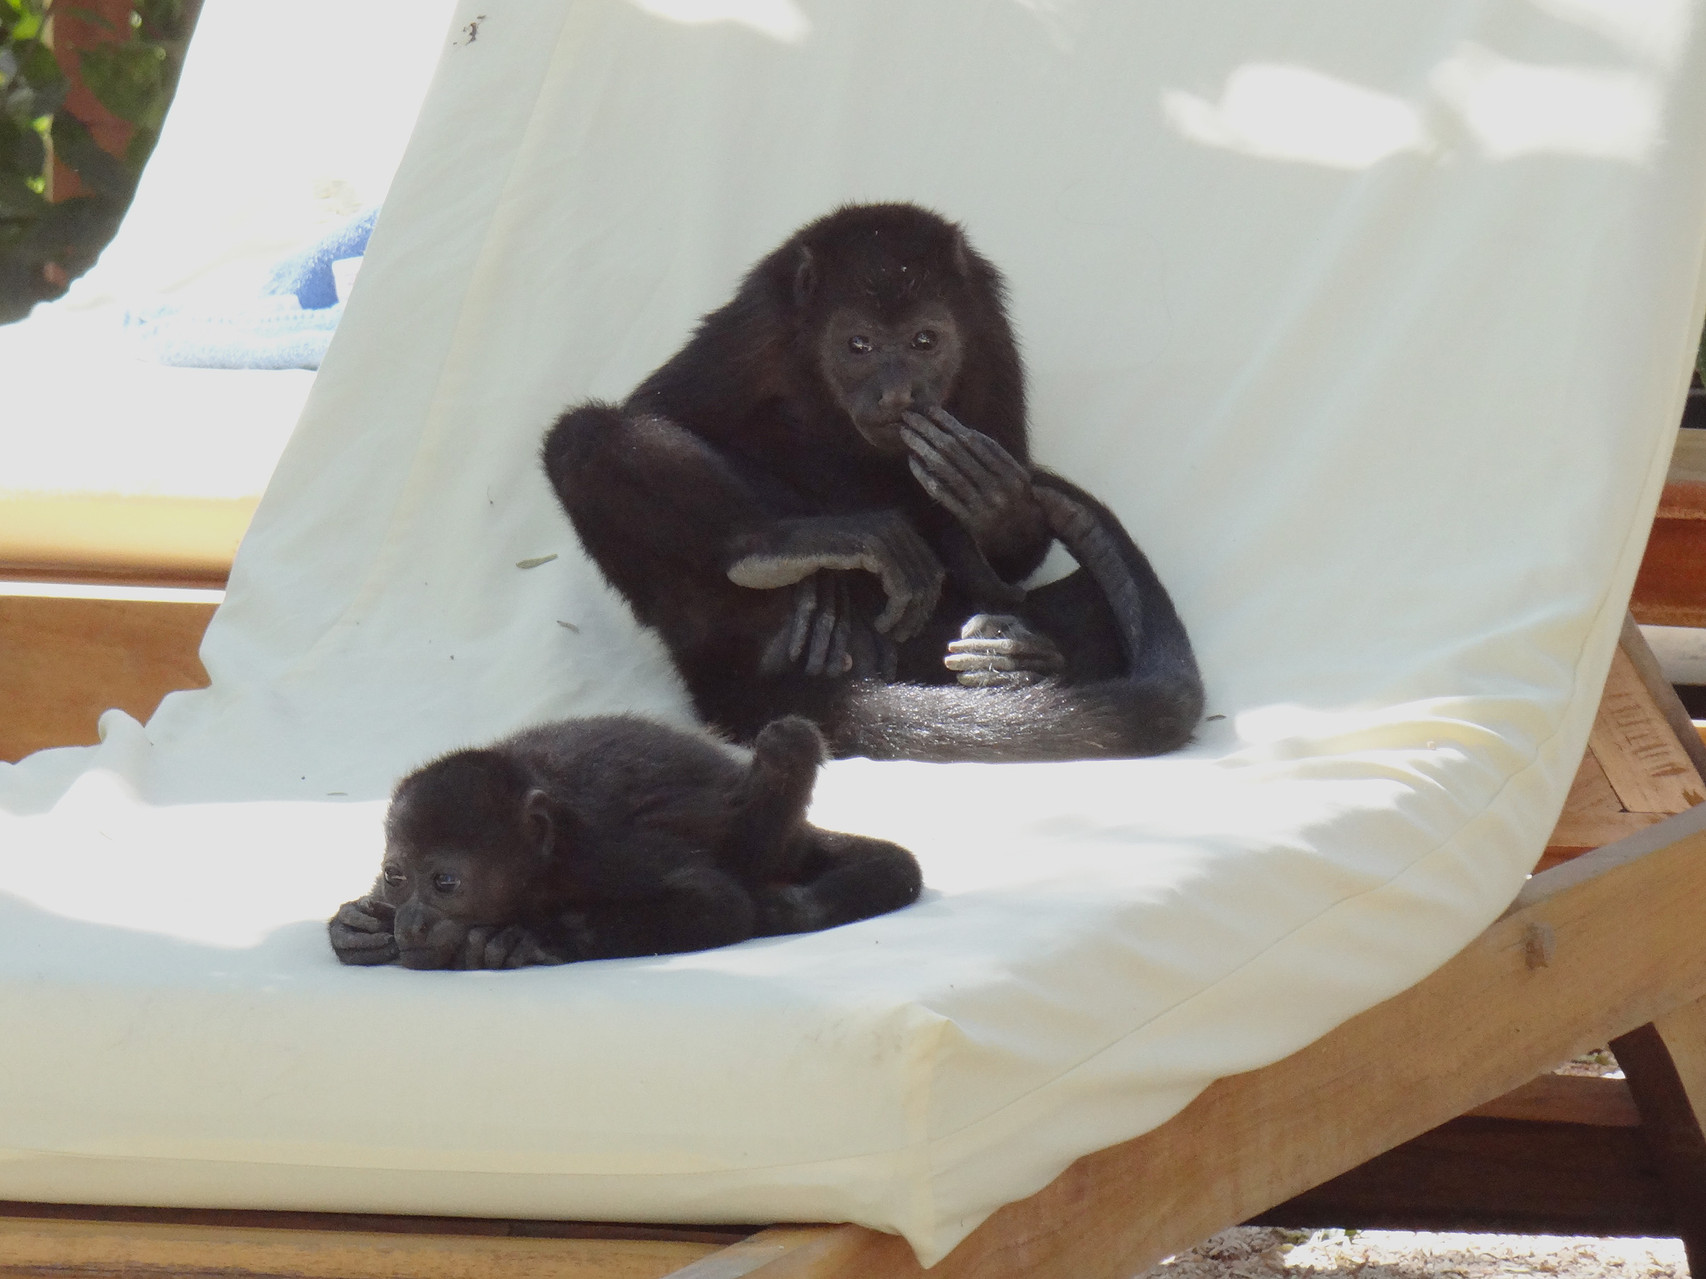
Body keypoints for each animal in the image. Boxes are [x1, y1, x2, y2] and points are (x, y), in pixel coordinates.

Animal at [329, 712, 921, 968]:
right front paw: (356, 922)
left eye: (445, 882)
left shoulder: (601, 852)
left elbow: (719, 906)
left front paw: (533, 937)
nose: (410, 921)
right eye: (395, 877)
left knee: (786, 742)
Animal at [542, 201, 1201, 760]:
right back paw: (782, 556)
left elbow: (1011, 552)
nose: (897, 393)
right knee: (582, 440)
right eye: (858, 344)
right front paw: (825, 558)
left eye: (924, 341)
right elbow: (657, 413)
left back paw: (1020, 658)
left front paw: (995, 503)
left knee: (1081, 602)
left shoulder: (988, 331)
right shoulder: (758, 323)